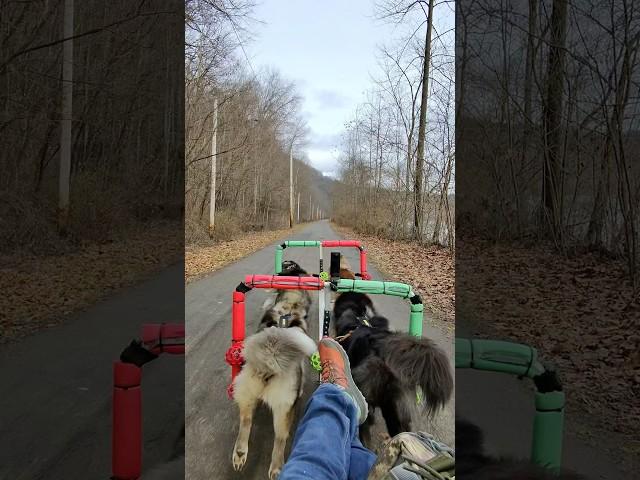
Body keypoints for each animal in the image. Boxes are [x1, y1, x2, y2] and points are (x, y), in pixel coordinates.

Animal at [232, 260, 318, 478]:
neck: (289, 307)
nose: (278, 271)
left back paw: (240, 454)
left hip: (247, 393)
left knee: (245, 421)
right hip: (284, 407)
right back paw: (277, 468)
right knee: (280, 439)